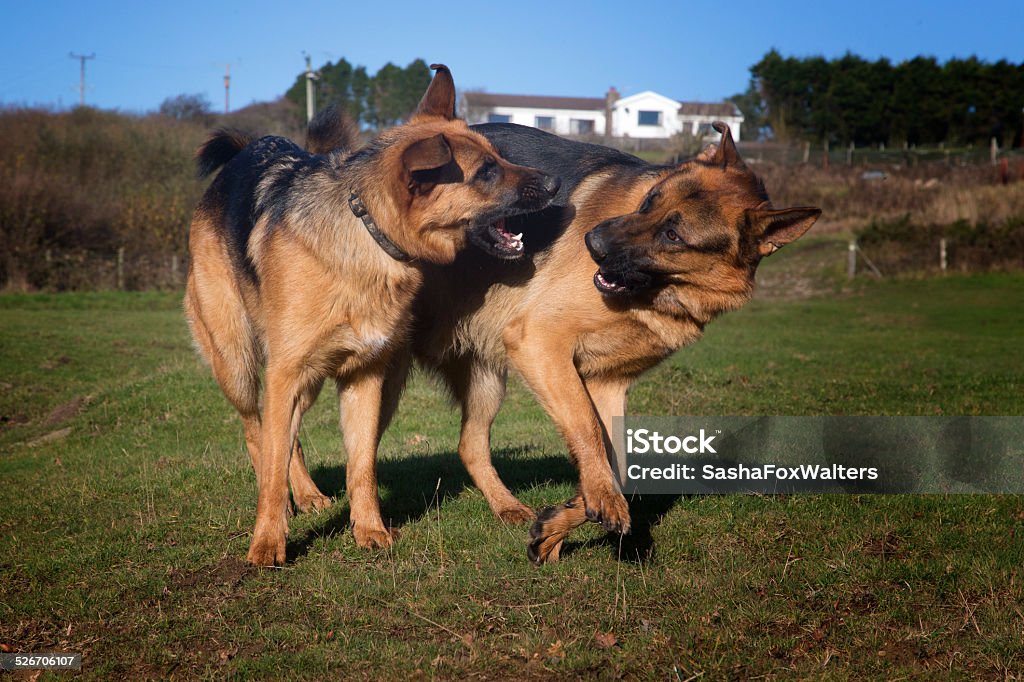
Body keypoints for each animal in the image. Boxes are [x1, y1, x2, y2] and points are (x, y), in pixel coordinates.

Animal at [180, 65, 557, 561]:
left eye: (498, 158)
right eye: (487, 172)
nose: (555, 186)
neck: (369, 234)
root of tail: (246, 150)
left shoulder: (364, 377)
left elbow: (362, 465)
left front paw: (370, 530)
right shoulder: (285, 373)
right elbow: (273, 459)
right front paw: (267, 542)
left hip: (305, 381)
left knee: (289, 439)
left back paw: (306, 494)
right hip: (239, 365)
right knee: (257, 433)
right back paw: (282, 504)